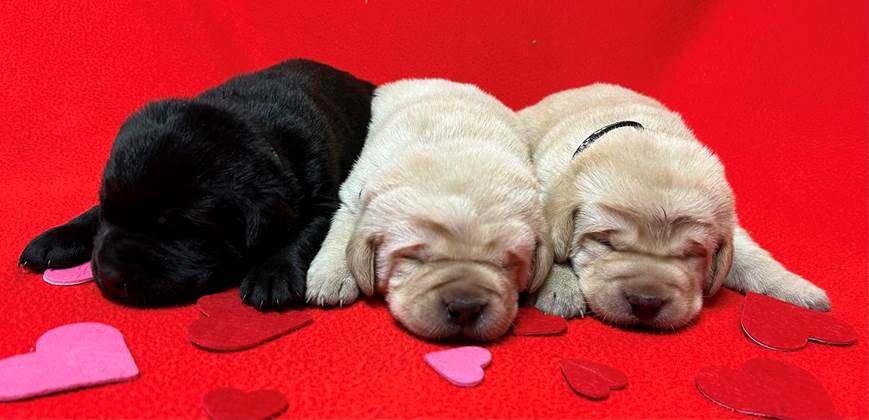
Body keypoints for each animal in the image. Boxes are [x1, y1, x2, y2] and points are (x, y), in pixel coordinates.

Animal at [17, 58, 372, 308]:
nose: (108, 274)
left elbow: (303, 231)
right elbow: (91, 214)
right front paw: (59, 237)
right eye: (108, 211)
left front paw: (273, 274)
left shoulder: (324, 195)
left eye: (180, 230)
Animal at [304, 79, 548, 342]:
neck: (451, 143)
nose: (465, 307)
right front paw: (331, 277)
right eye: (414, 258)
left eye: (508, 264)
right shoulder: (352, 194)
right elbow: (342, 230)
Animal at [520, 83, 832, 330]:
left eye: (692, 254)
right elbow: (554, 251)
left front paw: (799, 290)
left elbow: (753, 259)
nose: (645, 302)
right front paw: (561, 288)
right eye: (606, 243)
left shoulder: (730, 225)